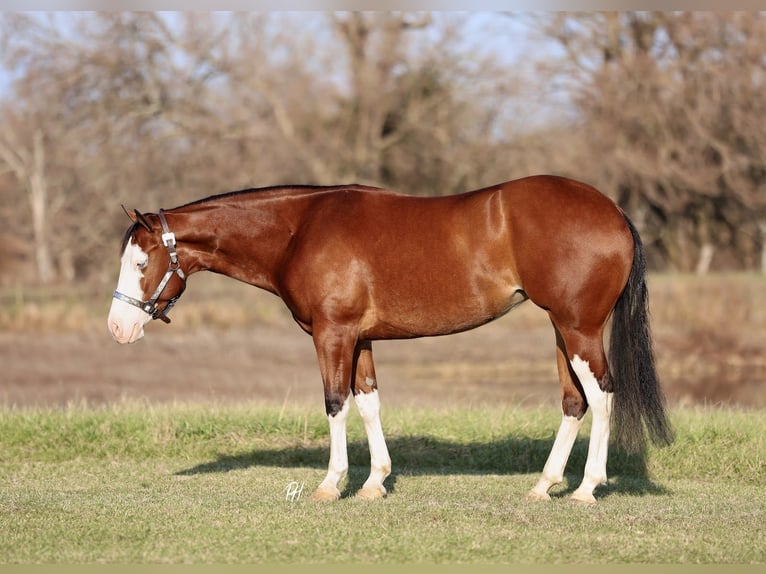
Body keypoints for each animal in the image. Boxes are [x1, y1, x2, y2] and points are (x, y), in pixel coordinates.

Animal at [107, 174, 673, 503]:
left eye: (139, 263)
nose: (118, 328)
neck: (299, 230)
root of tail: (614, 211)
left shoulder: (332, 334)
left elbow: (335, 403)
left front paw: (330, 484)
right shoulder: (359, 339)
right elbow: (368, 402)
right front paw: (375, 482)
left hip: (579, 329)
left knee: (602, 396)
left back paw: (586, 489)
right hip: (561, 329)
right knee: (574, 402)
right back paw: (544, 485)